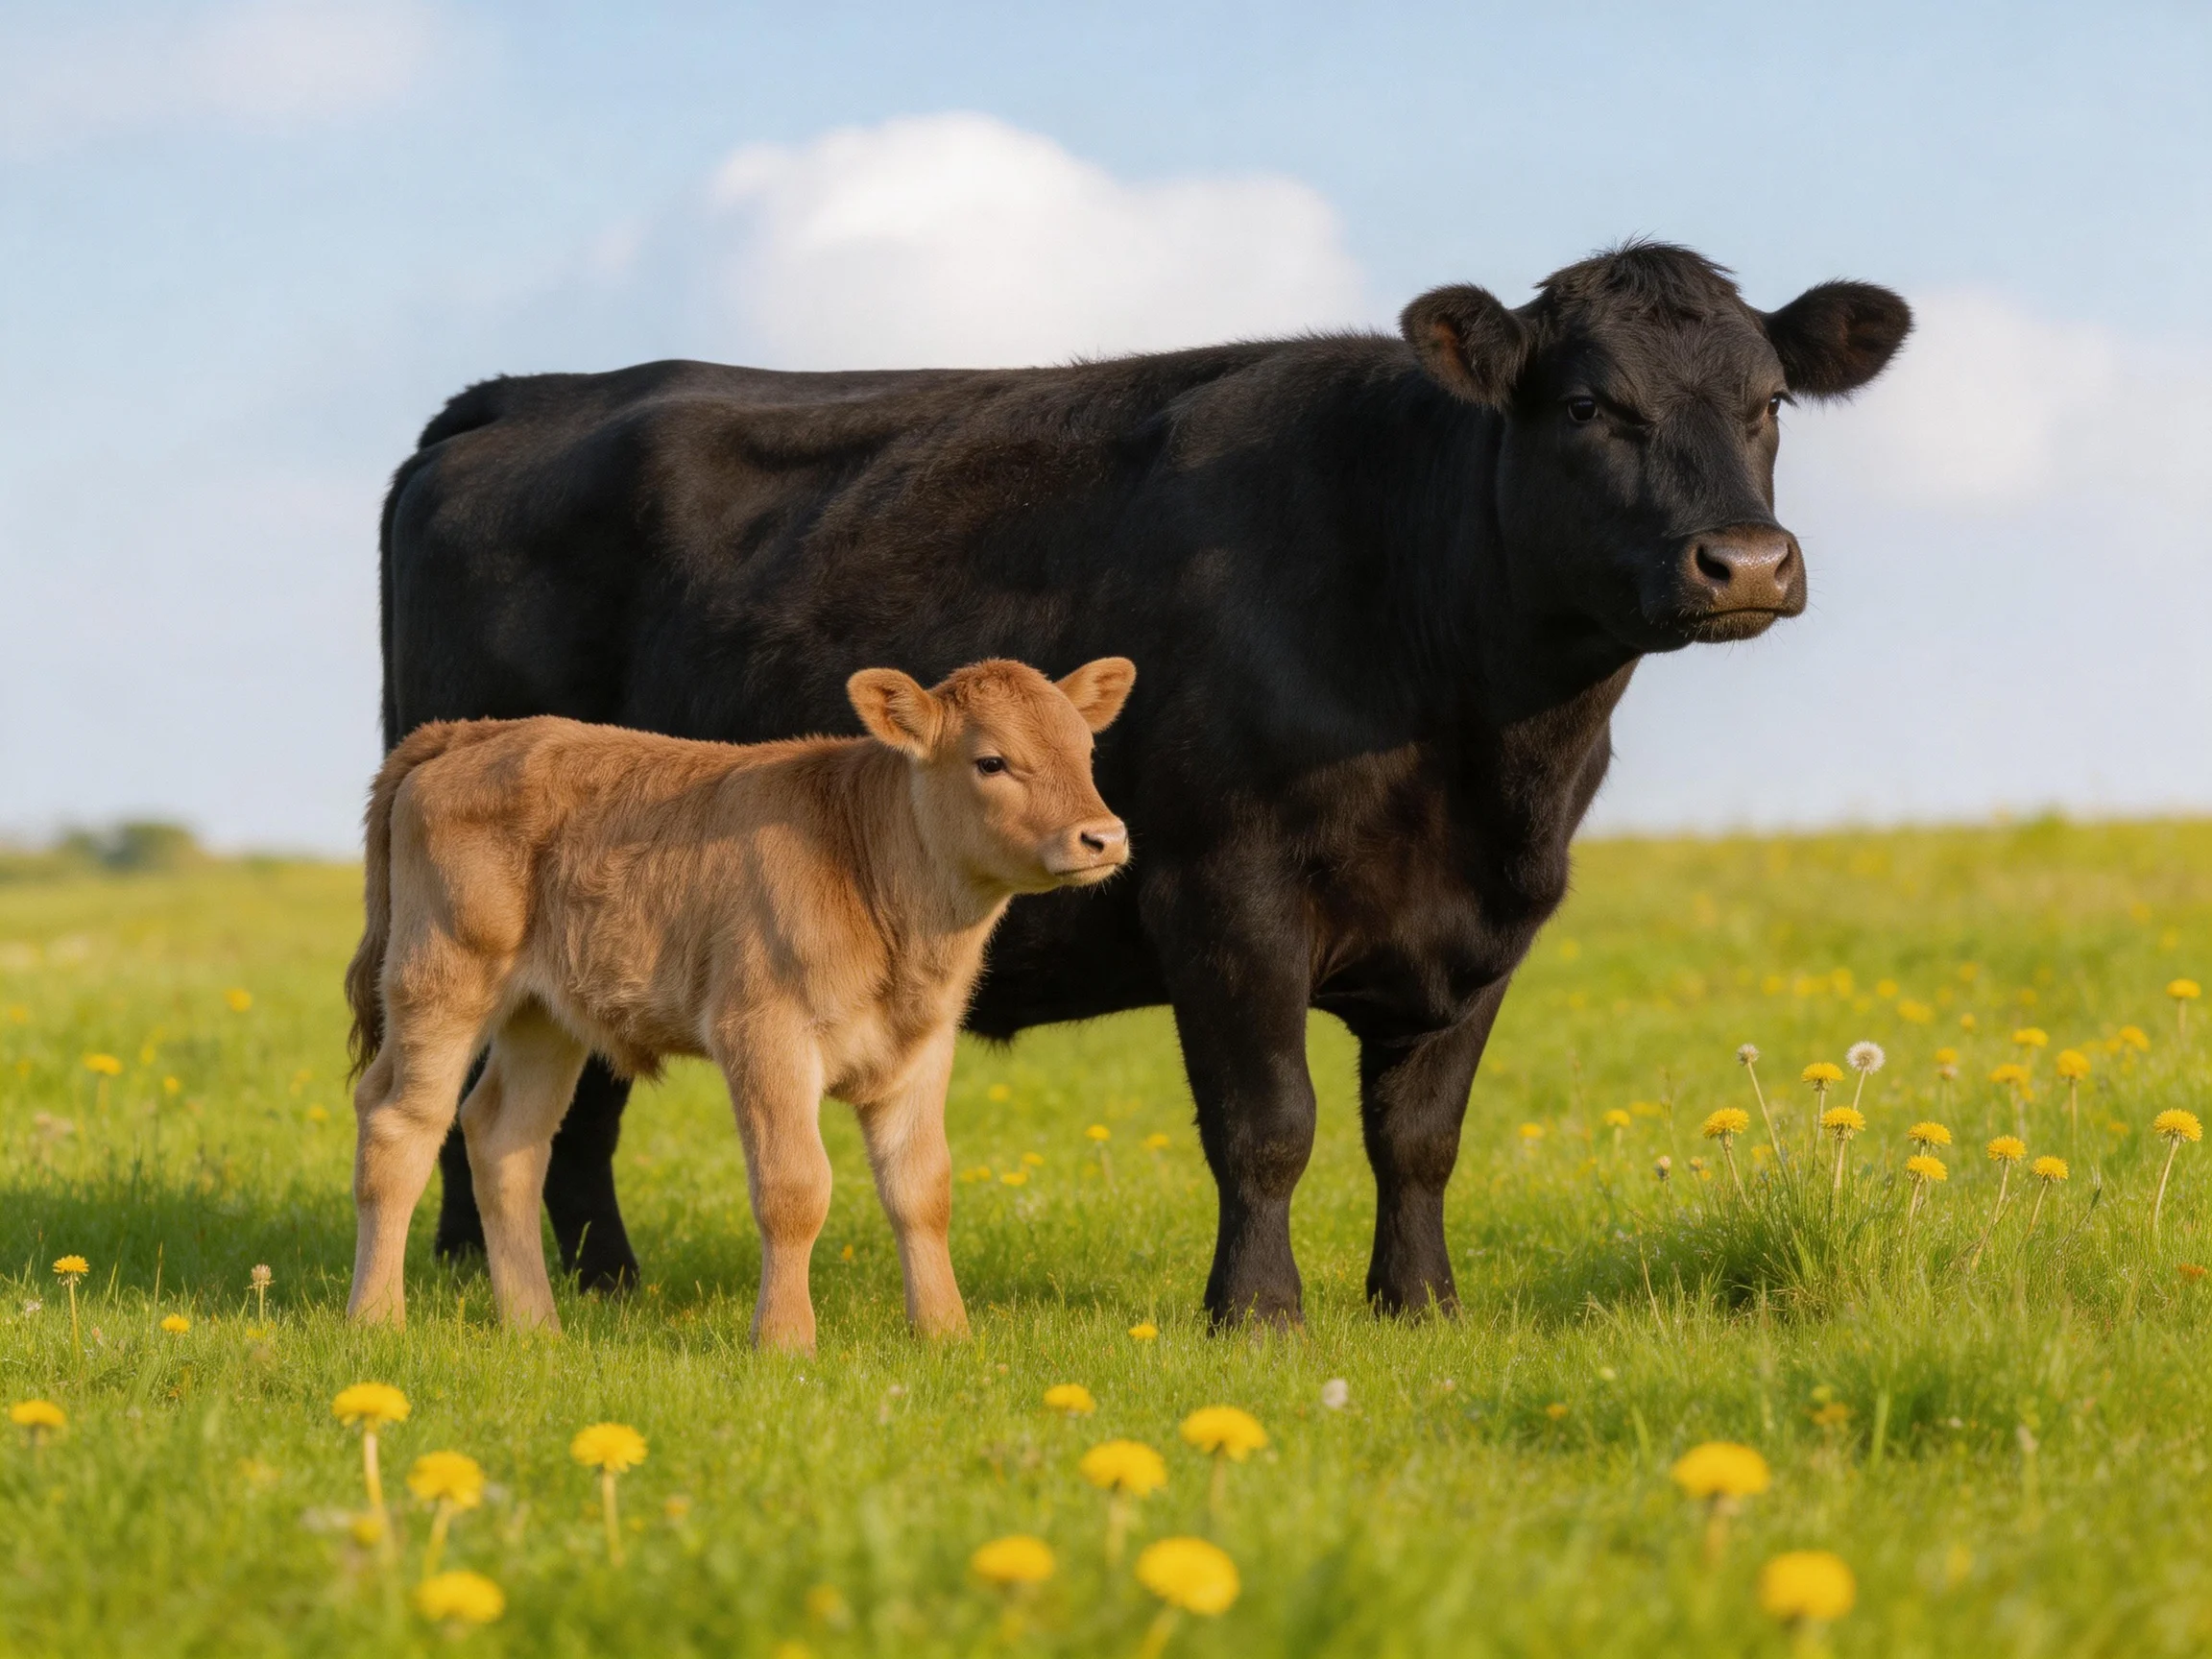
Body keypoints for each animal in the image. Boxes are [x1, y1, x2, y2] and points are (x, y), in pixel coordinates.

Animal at [342, 658, 1134, 1349]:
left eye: (1087, 751)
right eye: (992, 762)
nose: (1103, 836)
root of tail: (473, 732)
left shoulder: (922, 1045)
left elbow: (922, 1189)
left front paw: (945, 1335)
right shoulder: (765, 1034)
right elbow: (794, 1189)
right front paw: (784, 1341)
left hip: (543, 1014)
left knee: (506, 1137)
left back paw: (536, 1328)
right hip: (440, 978)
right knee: (400, 1125)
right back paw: (378, 1320)